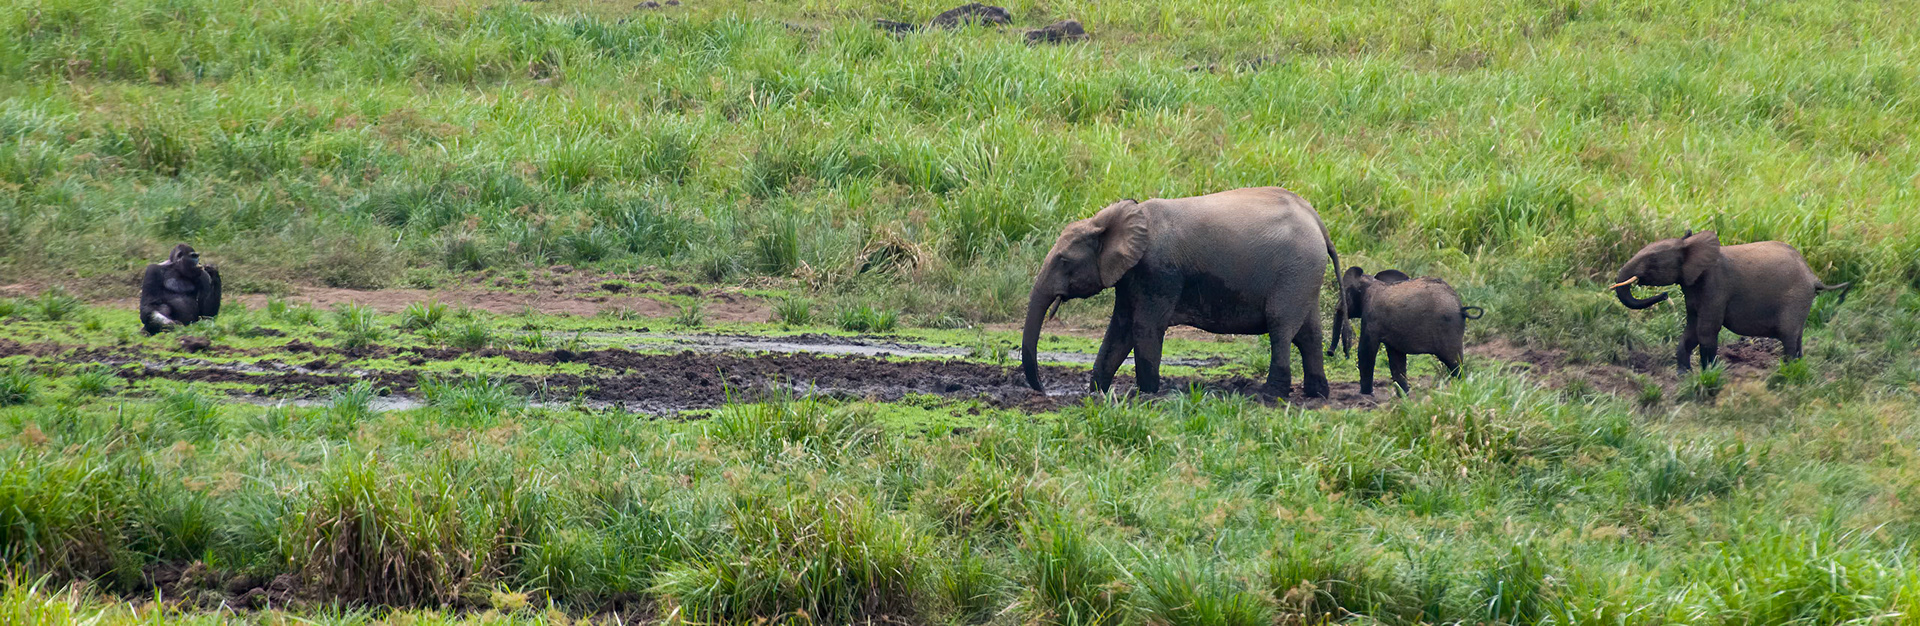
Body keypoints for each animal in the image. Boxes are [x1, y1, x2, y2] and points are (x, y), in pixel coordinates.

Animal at [1021, 186, 1341, 398]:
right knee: (1309, 334)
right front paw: (1097, 394)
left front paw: (1147, 395)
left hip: (1295, 271)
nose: (1043, 390)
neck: (1105, 222)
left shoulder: (1157, 271)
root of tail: (1318, 221)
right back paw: (1317, 395)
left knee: (1281, 328)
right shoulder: (1131, 275)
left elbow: (1144, 327)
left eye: (1064, 261)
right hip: (1305, 275)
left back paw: (1270, 395)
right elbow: (1120, 329)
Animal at [1327, 267, 1481, 394]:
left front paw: (1366, 394)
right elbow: (1396, 357)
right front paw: (1404, 395)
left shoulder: (1372, 318)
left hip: (1448, 328)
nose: (1329, 353)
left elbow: (1366, 350)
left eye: (1346, 291)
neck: (1371, 283)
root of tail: (1461, 309)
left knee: (1454, 362)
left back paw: (1462, 387)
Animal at [1611, 231, 1849, 371]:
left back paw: (1787, 375)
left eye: (1652, 260)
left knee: (1788, 335)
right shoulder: (1694, 289)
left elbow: (1706, 330)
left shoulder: (1716, 287)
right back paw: (1797, 369)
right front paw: (1684, 374)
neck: (1691, 245)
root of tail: (1814, 278)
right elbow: (1691, 329)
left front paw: (1709, 373)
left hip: (1795, 297)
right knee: (1797, 337)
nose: (1664, 296)